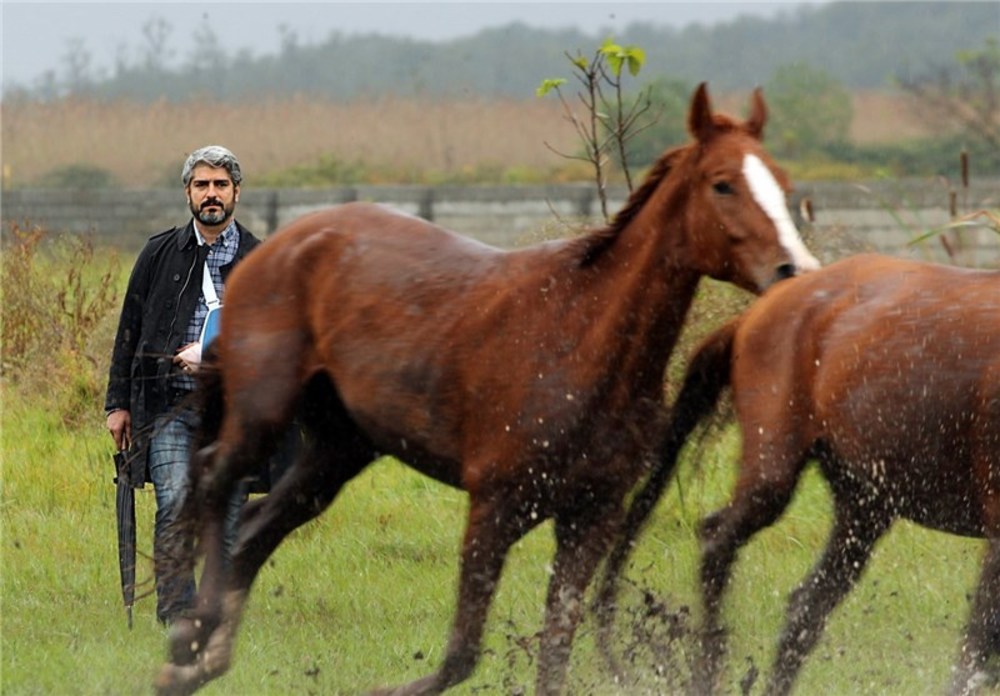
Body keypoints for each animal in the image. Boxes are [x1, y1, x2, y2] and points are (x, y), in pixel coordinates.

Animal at [152, 83, 816, 696]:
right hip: (264, 411)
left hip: (339, 449)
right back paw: (188, 635)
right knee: (214, 477)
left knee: (259, 522)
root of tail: (277, 248)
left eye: (783, 183)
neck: (580, 339)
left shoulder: (591, 518)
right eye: (722, 184)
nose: (795, 271)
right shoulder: (494, 506)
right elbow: (461, 655)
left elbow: (553, 653)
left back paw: (203, 658)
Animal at [596, 253, 996, 692]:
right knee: (717, 540)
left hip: (865, 508)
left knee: (805, 606)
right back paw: (709, 670)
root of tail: (757, 310)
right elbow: (976, 647)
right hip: (775, 470)